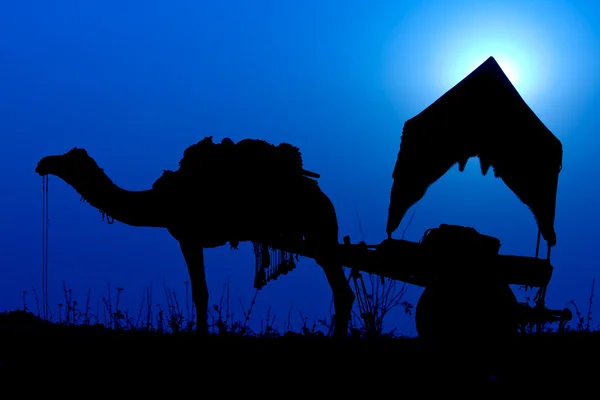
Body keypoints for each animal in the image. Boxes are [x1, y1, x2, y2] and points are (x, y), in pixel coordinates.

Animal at [35, 137, 354, 338]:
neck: (159, 202)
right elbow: (202, 292)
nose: (42, 163)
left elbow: (201, 293)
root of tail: (324, 197)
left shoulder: (188, 238)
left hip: (321, 233)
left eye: (68, 160)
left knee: (342, 290)